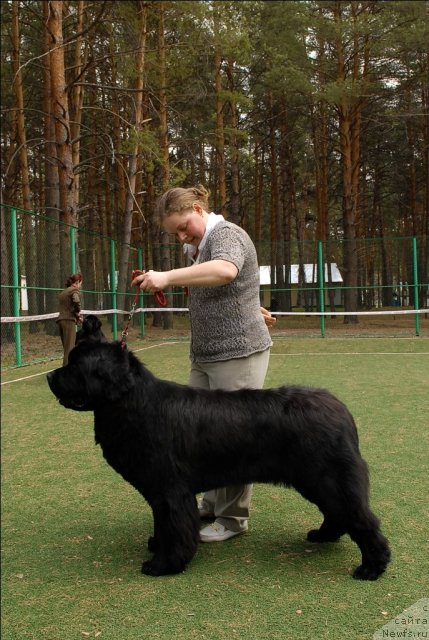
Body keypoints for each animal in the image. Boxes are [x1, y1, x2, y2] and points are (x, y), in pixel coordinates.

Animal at [45, 342, 390, 576]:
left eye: (75, 366)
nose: (49, 376)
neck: (132, 403)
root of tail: (341, 409)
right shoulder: (160, 493)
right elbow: (163, 523)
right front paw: (158, 545)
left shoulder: (171, 490)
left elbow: (176, 527)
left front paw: (163, 564)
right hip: (318, 480)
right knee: (338, 513)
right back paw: (323, 536)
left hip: (327, 477)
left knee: (360, 518)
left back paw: (372, 567)